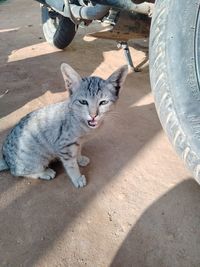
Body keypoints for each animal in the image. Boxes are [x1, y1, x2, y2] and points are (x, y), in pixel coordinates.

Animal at [0, 63, 128, 188]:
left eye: (103, 102)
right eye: (83, 102)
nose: (93, 115)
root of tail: (6, 158)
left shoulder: (78, 142)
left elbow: (78, 151)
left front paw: (80, 159)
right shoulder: (64, 147)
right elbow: (71, 165)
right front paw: (77, 178)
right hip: (35, 160)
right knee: (18, 172)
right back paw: (45, 173)